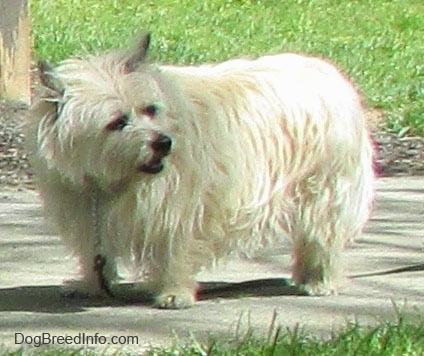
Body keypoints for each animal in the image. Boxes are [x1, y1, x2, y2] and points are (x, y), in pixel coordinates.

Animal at [25, 34, 374, 308]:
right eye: (117, 122)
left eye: (150, 109)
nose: (164, 142)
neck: (117, 178)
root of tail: (328, 72)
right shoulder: (87, 213)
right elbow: (95, 252)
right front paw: (91, 285)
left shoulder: (180, 209)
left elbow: (175, 250)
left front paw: (174, 292)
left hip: (324, 189)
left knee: (322, 235)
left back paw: (320, 280)